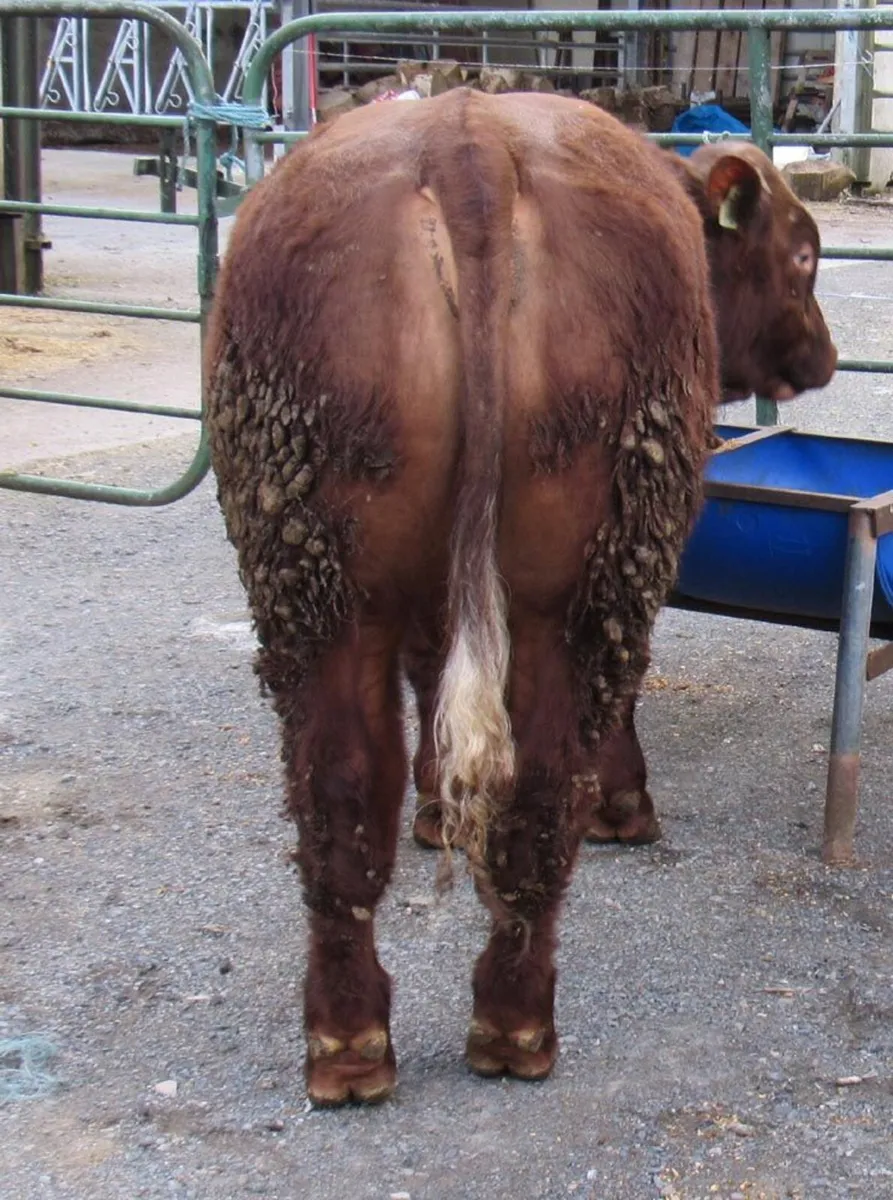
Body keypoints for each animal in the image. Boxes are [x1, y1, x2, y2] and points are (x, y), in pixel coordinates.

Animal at [205, 89, 836, 1106]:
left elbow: (429, 687)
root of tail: (465, 142)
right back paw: (515, 1022)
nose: (822, 356)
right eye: (803, 254)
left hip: (321, 586)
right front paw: (625, 806)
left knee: (341, 787)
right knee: (544, 776)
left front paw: (433, 812)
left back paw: (349, 1042)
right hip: (581, 586)